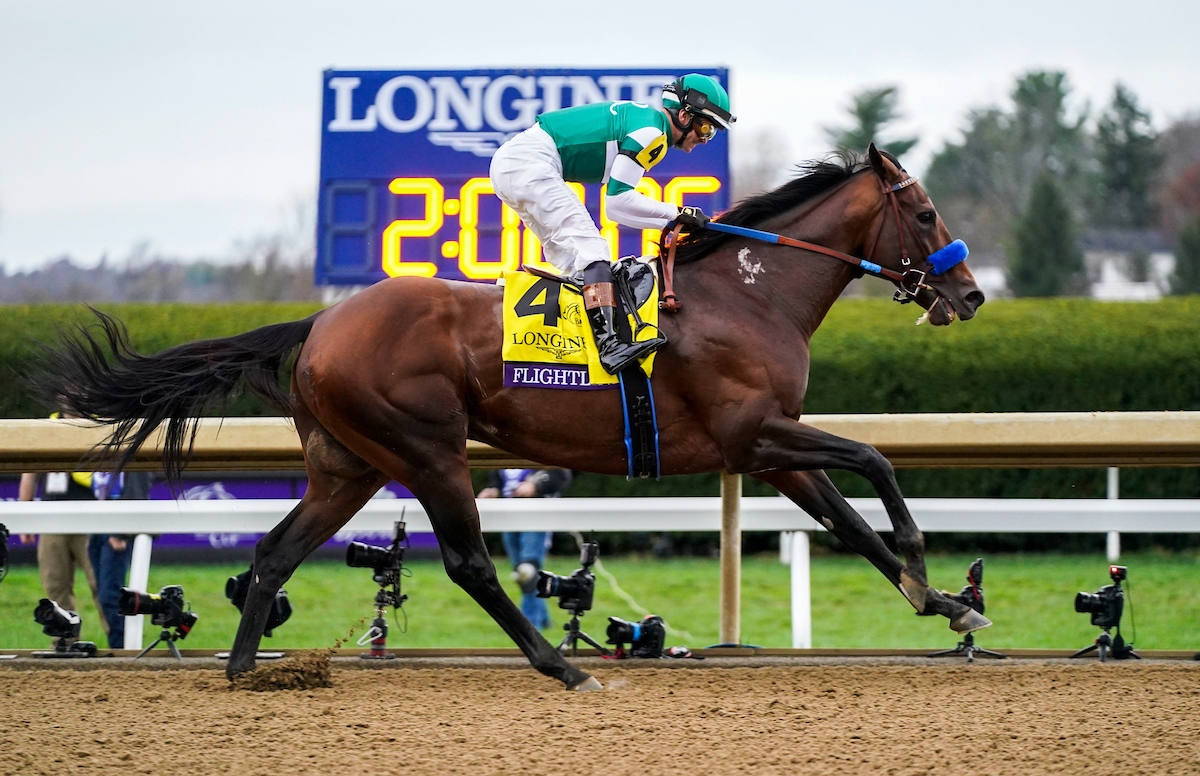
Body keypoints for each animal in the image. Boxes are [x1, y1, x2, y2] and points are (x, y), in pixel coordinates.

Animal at [44, 145, 984, 690]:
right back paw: (562, 666)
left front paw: (941, 602)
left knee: (276, 550)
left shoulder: (769, 451)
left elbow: (849, 522)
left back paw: (246, 668)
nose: (970, 294)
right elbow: (877, 461)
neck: (749, 293)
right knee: (470, 563)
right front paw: (928, 570)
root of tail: (319, 322)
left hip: (349, 465)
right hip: (428, 450)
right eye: (926, 212)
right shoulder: (750, 434)